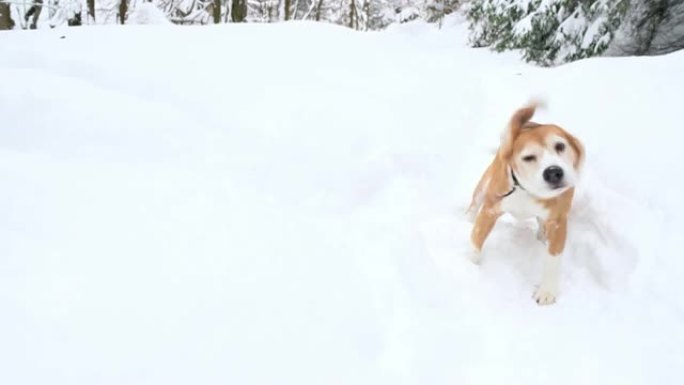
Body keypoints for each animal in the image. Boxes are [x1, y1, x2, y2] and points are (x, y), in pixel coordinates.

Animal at [468, 100, 584, 304]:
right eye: (528, 157)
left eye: (560, 146)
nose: (553, 172)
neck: (529, 190)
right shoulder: (490, 209)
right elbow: (476, 239)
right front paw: (469, 267)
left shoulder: (558, 222)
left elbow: (553, 259)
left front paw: (547, 291)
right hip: (483, 186)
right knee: (473, 207)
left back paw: (542, 236)